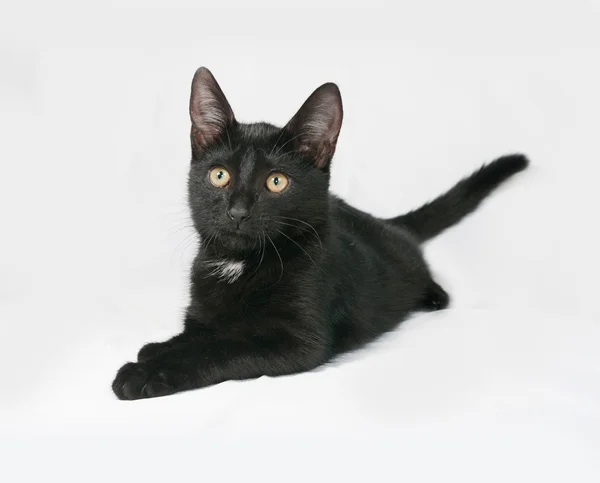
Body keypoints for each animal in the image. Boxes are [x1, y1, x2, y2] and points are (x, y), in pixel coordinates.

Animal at [110, 67, 528, 400]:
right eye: (219, 175)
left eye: (276, 182)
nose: (238, 211)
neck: (240, 263)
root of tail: (381, 221)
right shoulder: (202, 311)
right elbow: (202, 335)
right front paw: (159, 349)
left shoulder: (299, 339)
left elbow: (222, 347)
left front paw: (148, 372)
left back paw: (434, 294)